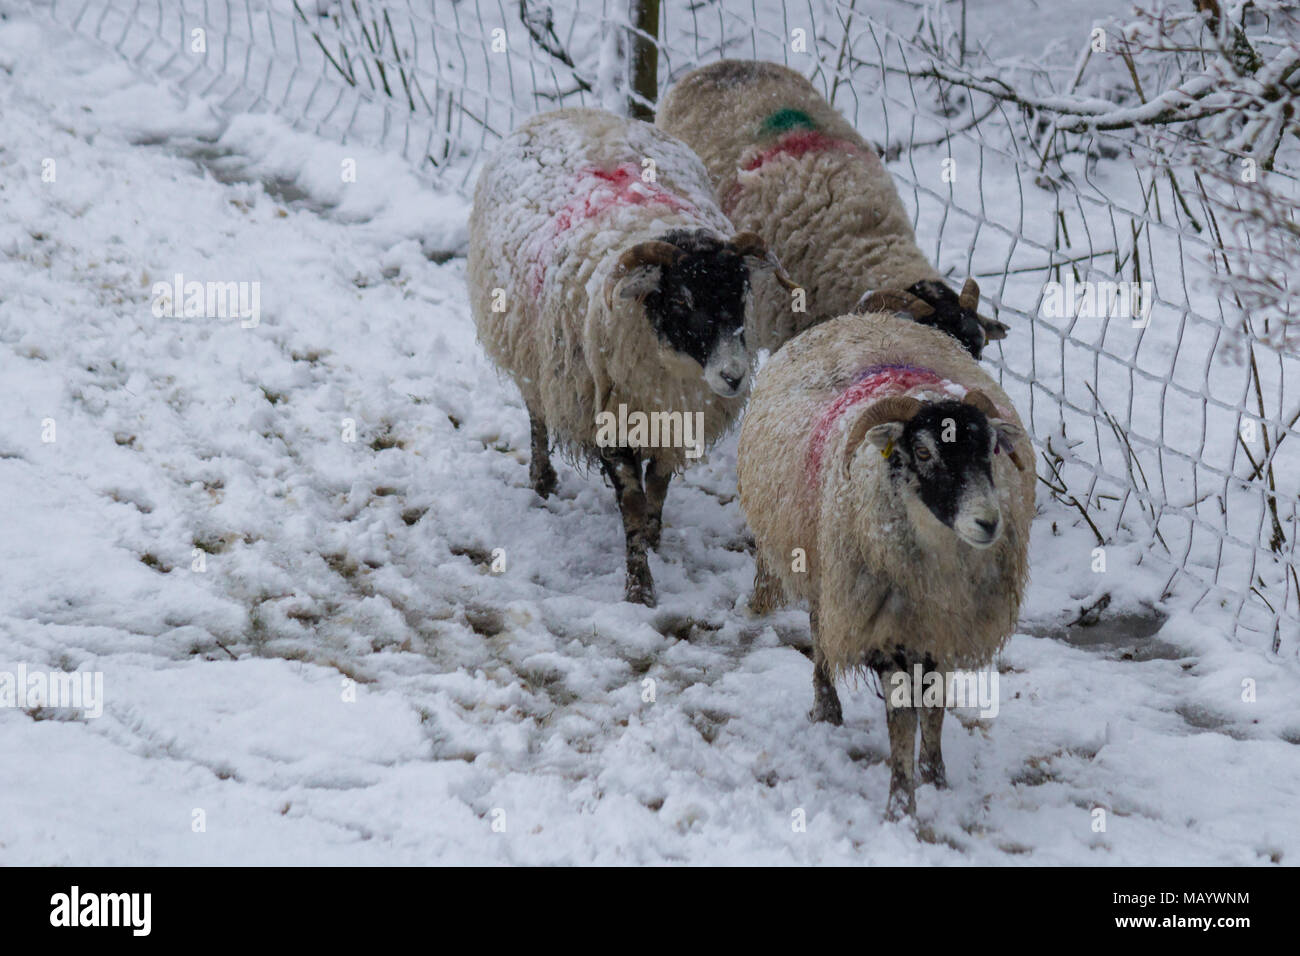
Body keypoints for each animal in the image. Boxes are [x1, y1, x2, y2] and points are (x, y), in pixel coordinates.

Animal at [467, 107, 793, 607]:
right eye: (679, 300)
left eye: (741, 293)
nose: (734, 377)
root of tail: (571, 110)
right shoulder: (606, 417)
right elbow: (632, 499)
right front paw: (639, 584)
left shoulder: (676, 419)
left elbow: (657, 483)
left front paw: (655, 538)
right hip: (530, 354)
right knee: (537, 413)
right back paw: (541, 478)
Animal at [736, 302, 1035, 819]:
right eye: (923, 451)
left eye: (990, 448)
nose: (988, 522)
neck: (937, 570)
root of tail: (859, 316)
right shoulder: (883, 627)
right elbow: (901, 719)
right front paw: (900, 803)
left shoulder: (939, 629)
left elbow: (933, 708)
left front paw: (935, 778)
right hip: (825, 570)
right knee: (820, 631)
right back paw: (827, 707)